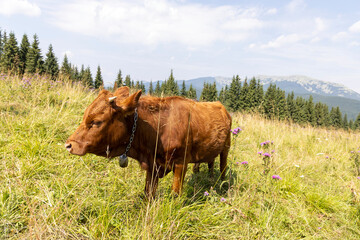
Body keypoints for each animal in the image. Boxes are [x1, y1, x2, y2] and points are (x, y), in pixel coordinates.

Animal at [66, 86, 232, 197]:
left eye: (96, 122)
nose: (69, 145)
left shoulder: (181, 162)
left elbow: (175, 194)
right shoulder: (153, 165)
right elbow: (148, 193)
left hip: (226, 147)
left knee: (223, 167)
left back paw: (222, 185)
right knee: (209, 163)